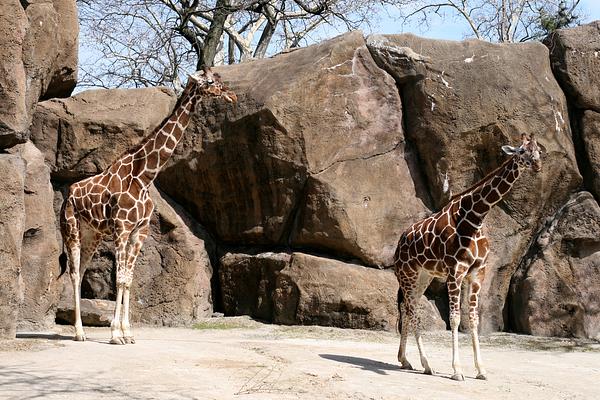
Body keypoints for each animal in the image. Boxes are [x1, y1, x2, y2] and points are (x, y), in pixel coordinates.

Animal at [394, 135, 544, 382]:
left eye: (539, 151)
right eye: (522, 151)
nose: (537, 165)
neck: (476, 217)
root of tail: (399, 243)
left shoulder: (477, 274)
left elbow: (473, 319)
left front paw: (481, 370)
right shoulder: (455, 272)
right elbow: (455, 318)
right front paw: (457, 370)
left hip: (423, 276)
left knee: (408, 308)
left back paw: (406, 360)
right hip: (408, 274)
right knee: (412, 311)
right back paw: (426, 364)